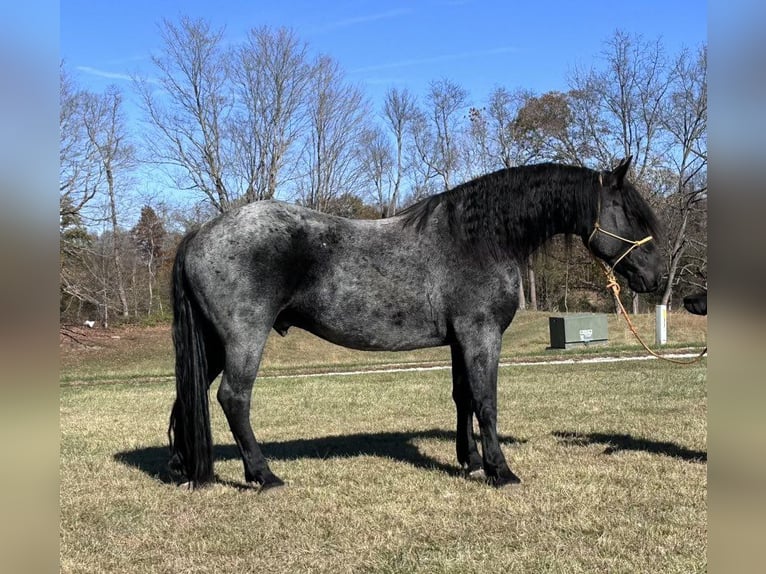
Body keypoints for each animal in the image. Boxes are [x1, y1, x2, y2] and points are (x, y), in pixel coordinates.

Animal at [171, 156, 664, 490]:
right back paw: (263, 475)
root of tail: (200, 232)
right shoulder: (481, 334)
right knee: (234, 398)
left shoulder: (460, 339)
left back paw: (183, 468)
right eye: (631, 213)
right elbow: (486, 401)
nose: (655, 277)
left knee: (187, 397)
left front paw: (469, 460)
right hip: (243, 338)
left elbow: (463, 398)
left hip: (213, 345)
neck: (479, 239)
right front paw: (500, 470)